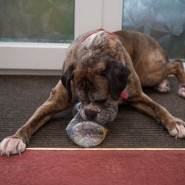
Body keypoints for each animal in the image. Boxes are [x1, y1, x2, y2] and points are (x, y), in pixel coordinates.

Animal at [1, 29, 185, 156]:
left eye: (103, 99)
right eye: (80, 100)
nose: (89, 113)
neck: (96, 51)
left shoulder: (137, 96)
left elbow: (159, 108)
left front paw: (174, 123)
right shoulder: (55, 100)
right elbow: (33, 120)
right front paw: (15, 139)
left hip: (149, 72)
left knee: (176, 63)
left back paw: (180, 86)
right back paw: (164, 84)